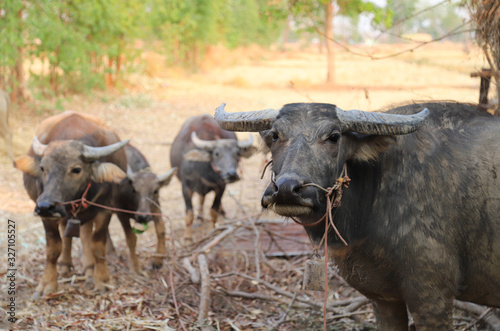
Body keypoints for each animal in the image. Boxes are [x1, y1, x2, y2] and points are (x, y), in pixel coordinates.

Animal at [15, 111, 129, 298]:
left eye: (76, 169)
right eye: (43, 168)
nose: (45, 206)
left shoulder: (105, 210)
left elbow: (98, 246)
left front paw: (102, 280)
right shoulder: (47, 218)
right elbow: (53, 248)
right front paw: (47, 283)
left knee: (85, 233)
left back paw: (89, 268)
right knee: (67, 233)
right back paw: (65, 265)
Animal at [171, 115, 254, 243]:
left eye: (238, 154)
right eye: (217, 154)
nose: (231, 175)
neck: (203, 171)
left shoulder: (221, 186)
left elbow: (213, 211)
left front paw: (213, 230)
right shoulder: (186, 186)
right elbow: (189, 213)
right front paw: (187, 236)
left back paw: (222, 212)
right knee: (201, 199)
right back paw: (200, 217)